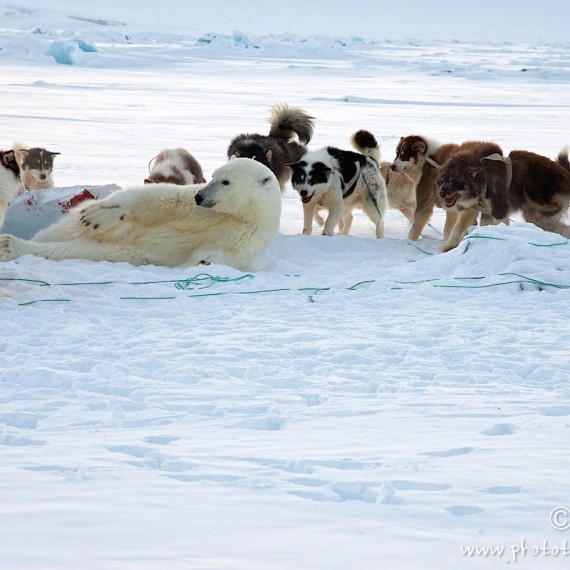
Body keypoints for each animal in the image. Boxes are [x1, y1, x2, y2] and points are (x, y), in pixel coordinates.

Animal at [0, 156, 282, 270]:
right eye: (213, 175)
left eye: (226, 182)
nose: (201, 196)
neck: (241, 214)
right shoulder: (195, 207)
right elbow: (158, 198)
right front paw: (98, 216)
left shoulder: (246, 236)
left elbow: (219, 254)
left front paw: (201, 262)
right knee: (62, 232)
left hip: (124, 251)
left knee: (81, 250)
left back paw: (10, 246)